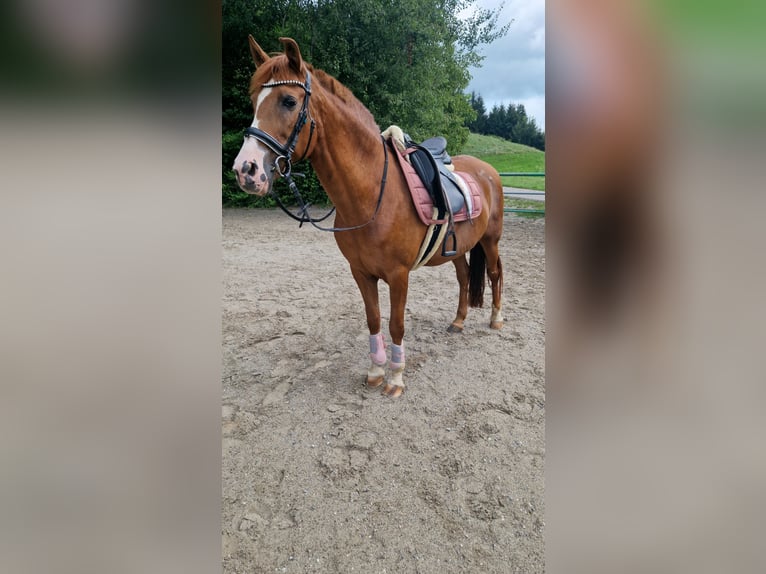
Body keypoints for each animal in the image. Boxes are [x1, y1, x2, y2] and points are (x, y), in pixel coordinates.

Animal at [234, 35, 510, 396]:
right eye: (254, 100)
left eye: (289, 101)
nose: (245, 170)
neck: (372, 195)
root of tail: (487, 170)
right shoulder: (361, 272)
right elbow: (374, 319)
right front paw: (377, 371)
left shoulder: (398, 275)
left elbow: (396, 324)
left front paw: (395, 378)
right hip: (458, 247)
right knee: (464, 277)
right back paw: (459, 320)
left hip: (490, 240)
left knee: (494, 274)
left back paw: (495, 319)